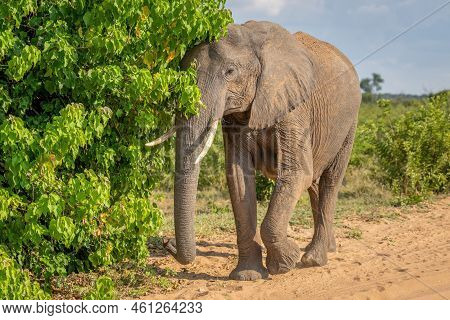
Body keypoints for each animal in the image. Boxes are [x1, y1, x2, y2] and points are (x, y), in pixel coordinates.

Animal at [148, 20, 362, 280]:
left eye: (230, 72)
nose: (167, 242)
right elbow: (239, 178)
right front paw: (248, 276)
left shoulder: (294, 107)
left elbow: (297, 172)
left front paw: (285, 262)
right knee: (314, 183)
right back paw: (326, 249)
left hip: (350, 122)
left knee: (330, 180)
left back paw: (313, 259)